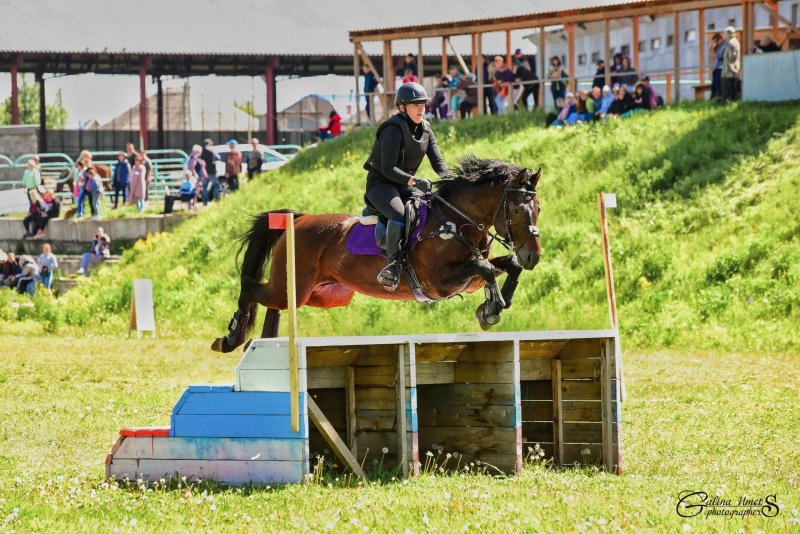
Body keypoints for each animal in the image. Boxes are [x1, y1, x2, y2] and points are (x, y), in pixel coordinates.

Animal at [211, 157, 544, 354]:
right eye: (517, 210)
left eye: (538, 209)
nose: (534, 257)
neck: (454, 221)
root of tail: (299, 219)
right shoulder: (440, 282)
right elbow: (485, 268)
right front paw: (492, 308)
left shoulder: (469, 275)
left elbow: (506, 266)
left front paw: (495, 306)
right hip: (294, 286)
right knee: (250, 287)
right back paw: (230, 338)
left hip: (323, 293)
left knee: (274, 303)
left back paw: (265, 339)